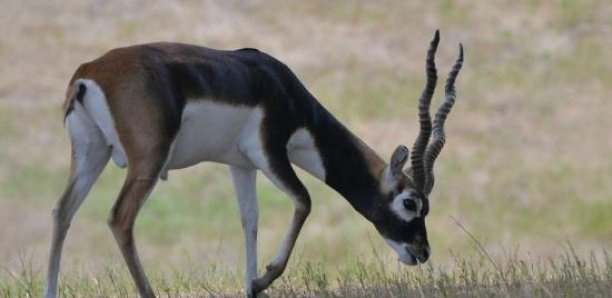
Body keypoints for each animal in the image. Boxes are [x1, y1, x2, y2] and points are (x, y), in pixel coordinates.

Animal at [44, 30, 464, 298]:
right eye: (410, 202)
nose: (422, 252)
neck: (280, 88)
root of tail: (89, 74)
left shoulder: (240, 165)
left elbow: (250, 219)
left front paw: (251, 287)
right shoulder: (269, 151)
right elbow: (304, 201)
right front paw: (261, 281)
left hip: (91, 154)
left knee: (63, 211)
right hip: (146, 161)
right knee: (120, 219)